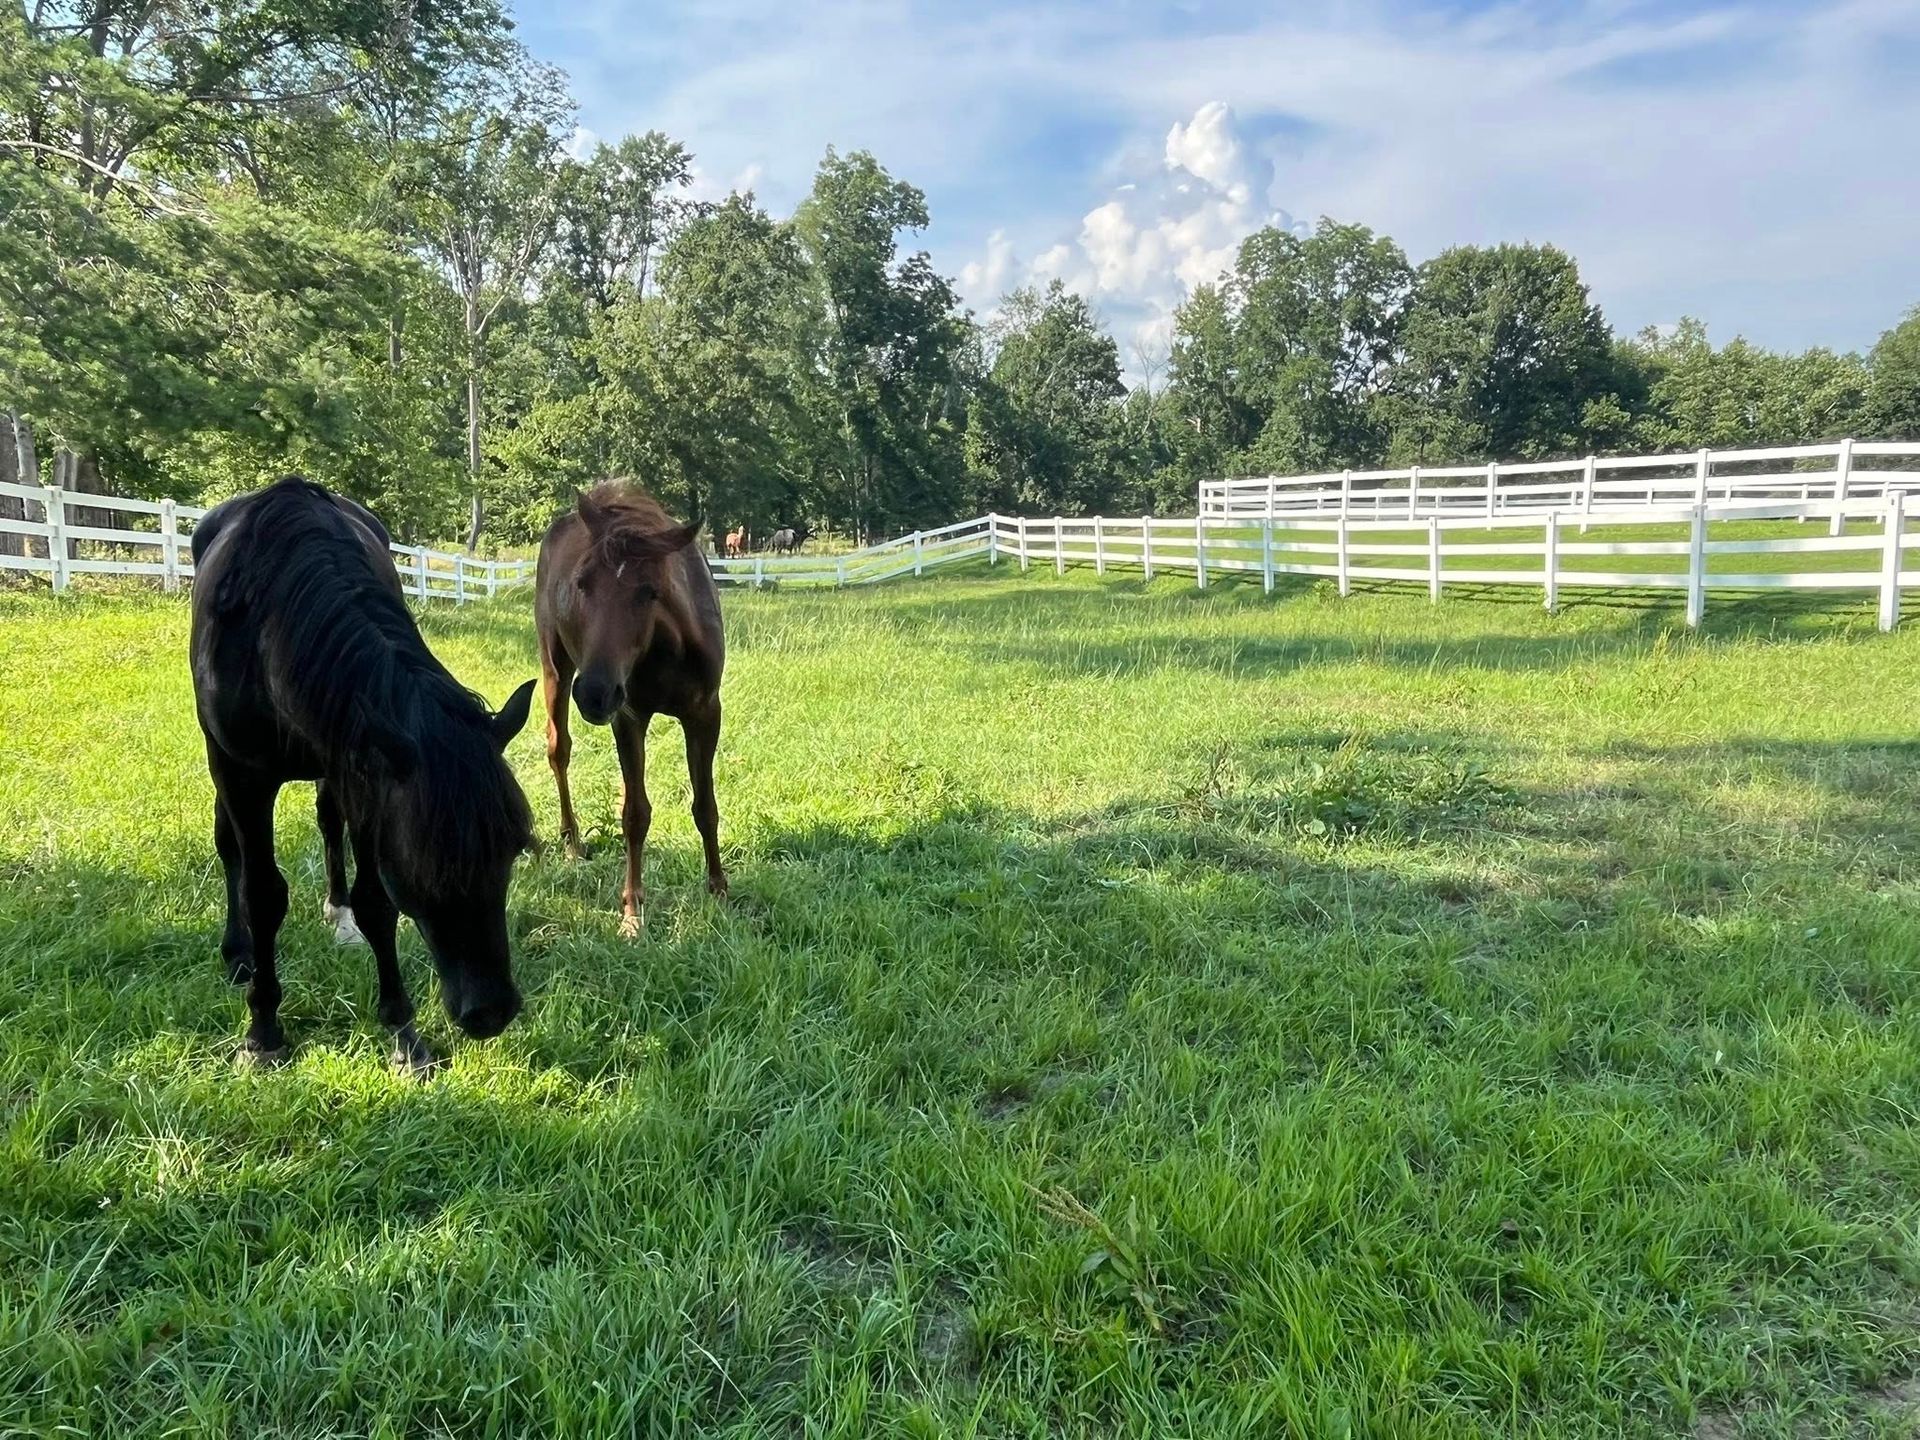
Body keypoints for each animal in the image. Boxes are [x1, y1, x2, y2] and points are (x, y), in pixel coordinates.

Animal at [189, 476, 538, 1073]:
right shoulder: (244, 775)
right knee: (229, 845)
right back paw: (238, 954)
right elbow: (262, 893)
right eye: (421, 865)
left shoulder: (363, 772)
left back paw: (338, 913)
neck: (272, 625)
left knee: (329, 825)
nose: (490, 1012)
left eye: (512, 850)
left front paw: (403, 1032)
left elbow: (377, 902)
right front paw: (263, 1032)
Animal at [535, 482, 727, 936]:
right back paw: (572, 843)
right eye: (582, 583)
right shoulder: (629, 717)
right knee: (558, 748)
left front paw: (718, 888)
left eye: (650, 592)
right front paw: (632, 912)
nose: (594, 693)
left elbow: (705, 807)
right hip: (555, 666)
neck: (667, 648)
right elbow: (635, 815)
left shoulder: (705, 713)